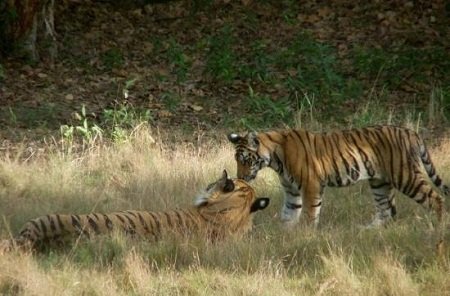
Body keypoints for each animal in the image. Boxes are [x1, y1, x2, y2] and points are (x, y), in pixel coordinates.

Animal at [229, 125, 446, 227]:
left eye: (245, 160)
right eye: (237, 160)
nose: (240, 178)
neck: (275, 159)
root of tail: (411, 132)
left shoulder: (311, 185)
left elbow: (309, 214)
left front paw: (304, 235)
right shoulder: (291, 192)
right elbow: (288, 214)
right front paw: (285, 235)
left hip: (406, 176)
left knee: (436, 199)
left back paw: (436, 228)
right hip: (380, 182)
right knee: (388, 211)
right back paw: (367, 230)